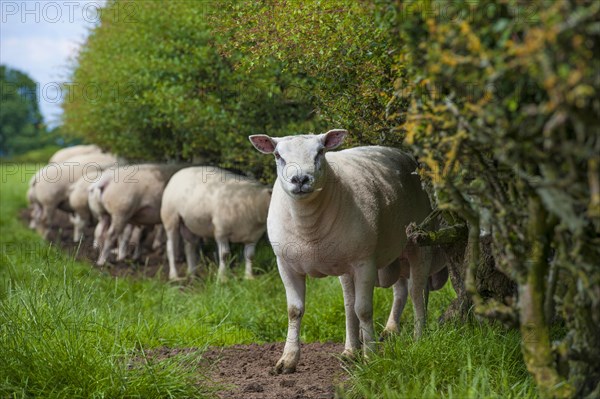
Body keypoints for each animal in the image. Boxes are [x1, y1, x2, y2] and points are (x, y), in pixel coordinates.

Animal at [247, 130, 446, 374]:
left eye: (320, 151)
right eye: (277, 155)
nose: (300, 179)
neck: (308, 227)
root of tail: (399, 152)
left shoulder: (364, 262)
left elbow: (364, 310)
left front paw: (371, 357)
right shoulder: (285, 264)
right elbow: (295, 310)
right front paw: (288, 360)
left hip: (419, 242)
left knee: (417, 292)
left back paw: (419, 338)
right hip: (356, 262)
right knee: (366, 300)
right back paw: (354, 349)